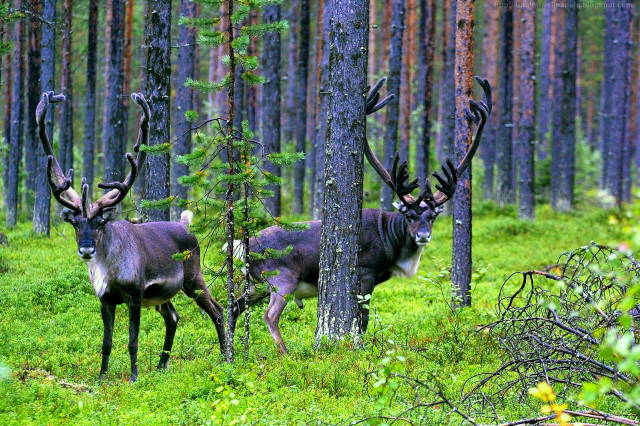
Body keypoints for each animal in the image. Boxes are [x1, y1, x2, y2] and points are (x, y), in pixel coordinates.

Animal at [36, 91, 226, 382]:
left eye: (100, 222)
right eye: (76, 224)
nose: (86, 250)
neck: (108, 270)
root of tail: (185, 224)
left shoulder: (135, 295)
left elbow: (132, 341)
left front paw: (134, 377)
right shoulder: (105, 300)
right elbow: (106, 342)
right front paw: (101, 378)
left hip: (193, 278)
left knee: (218, 310)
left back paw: (228, 357)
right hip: (163, 295)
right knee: (173, 317)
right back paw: (161, 365)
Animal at [228, 77, 492, 354]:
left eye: (432, 216)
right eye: (409, 215)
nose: (423, 236)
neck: (392, 242)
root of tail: (242, 245)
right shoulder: (365, 275)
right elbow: (362, 319)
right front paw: (360, 347)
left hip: (256, 284)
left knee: (233, 308)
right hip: (282, 280)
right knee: (269, 316)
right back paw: (285, 354)